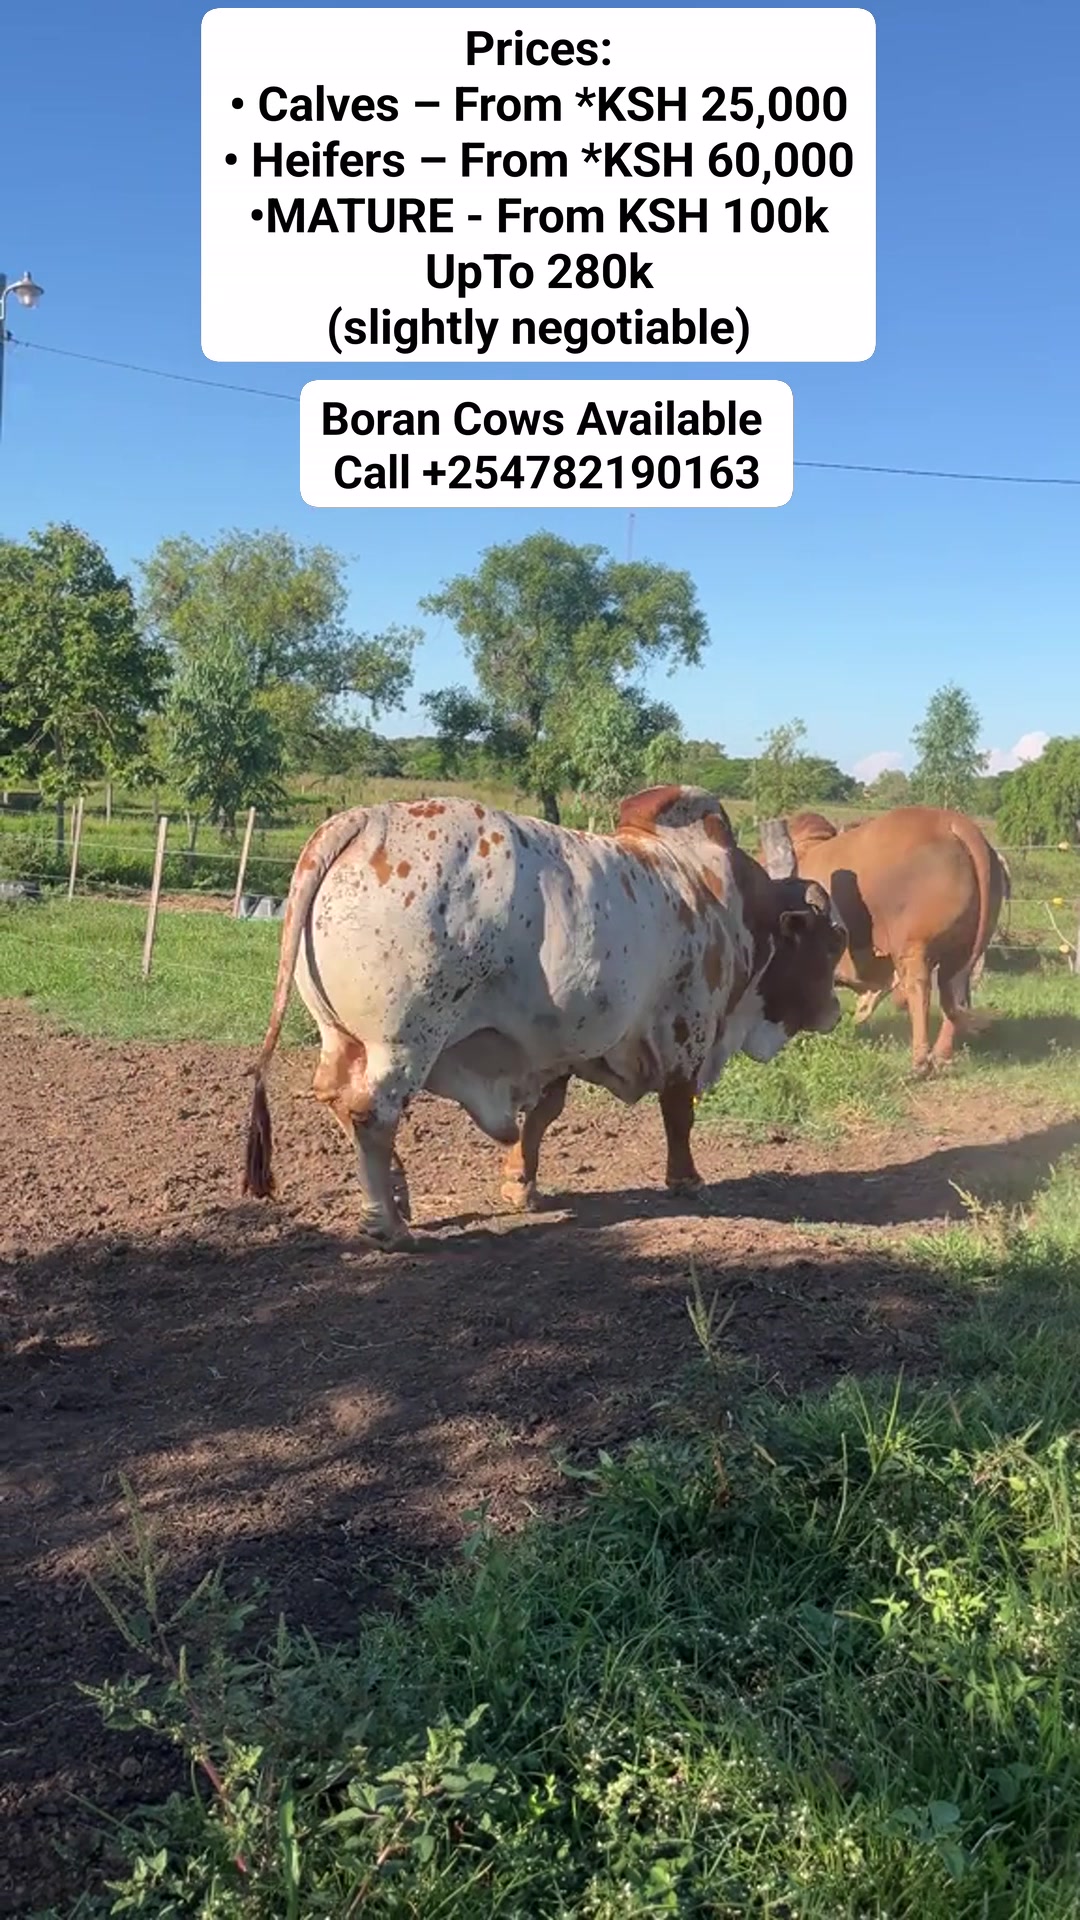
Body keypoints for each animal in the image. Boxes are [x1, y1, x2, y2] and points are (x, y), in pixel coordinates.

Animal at [242, 785, 847, 1248]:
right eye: (829, 942)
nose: (836, 1011)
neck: (718, 896)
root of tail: (364, 818)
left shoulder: (560, 1047)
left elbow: (540, 1116)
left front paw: (520, 1185)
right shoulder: (686, 1030)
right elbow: (678, 1114)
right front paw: (687, 1180)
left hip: (340, 1036)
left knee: (335, 1096)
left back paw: (397, 1196)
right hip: (404, 1042)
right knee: (373, 1113)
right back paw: (387, 1224)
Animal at [770, 805, 1009, 1077]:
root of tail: (954, 822)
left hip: (914, 946)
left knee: (920, 990)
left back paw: (919, 1062)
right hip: (963, 951)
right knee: (954, 993)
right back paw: (940, 1056)